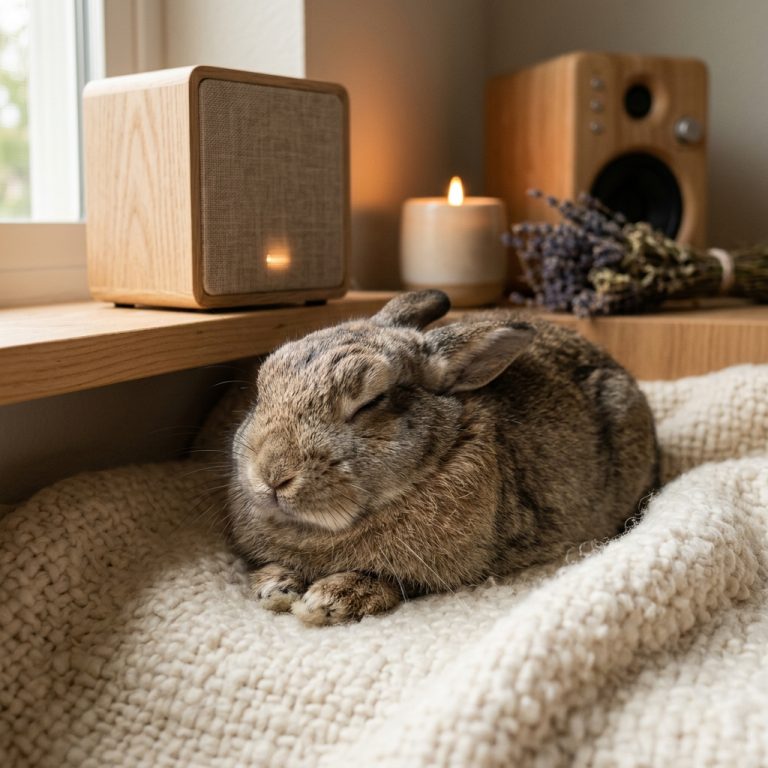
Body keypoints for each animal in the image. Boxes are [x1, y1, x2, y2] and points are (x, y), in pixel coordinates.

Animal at [227, 290, 659, 626]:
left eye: (371, 402)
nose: (272, 475)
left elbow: (392, 580)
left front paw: (329, 599)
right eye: (262, 387)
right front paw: (274, 586)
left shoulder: (442, 571)